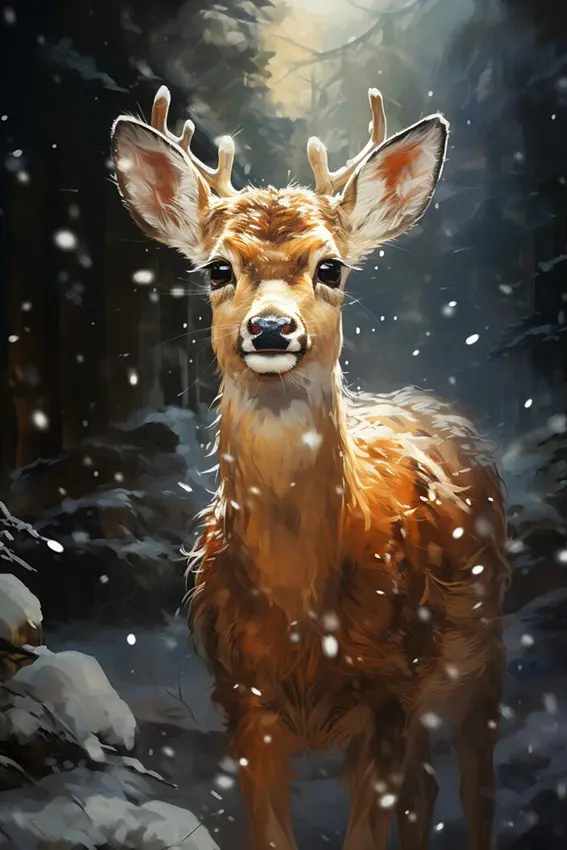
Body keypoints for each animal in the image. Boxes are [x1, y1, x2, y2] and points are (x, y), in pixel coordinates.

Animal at [111, 85, 509, 850]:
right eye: (218, 268)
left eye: (330, 267)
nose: (270, 329)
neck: (302, 620)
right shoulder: (242, 701)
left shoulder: (389, 691)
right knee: (427, 789)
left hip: (483, 652)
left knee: (476, 786)